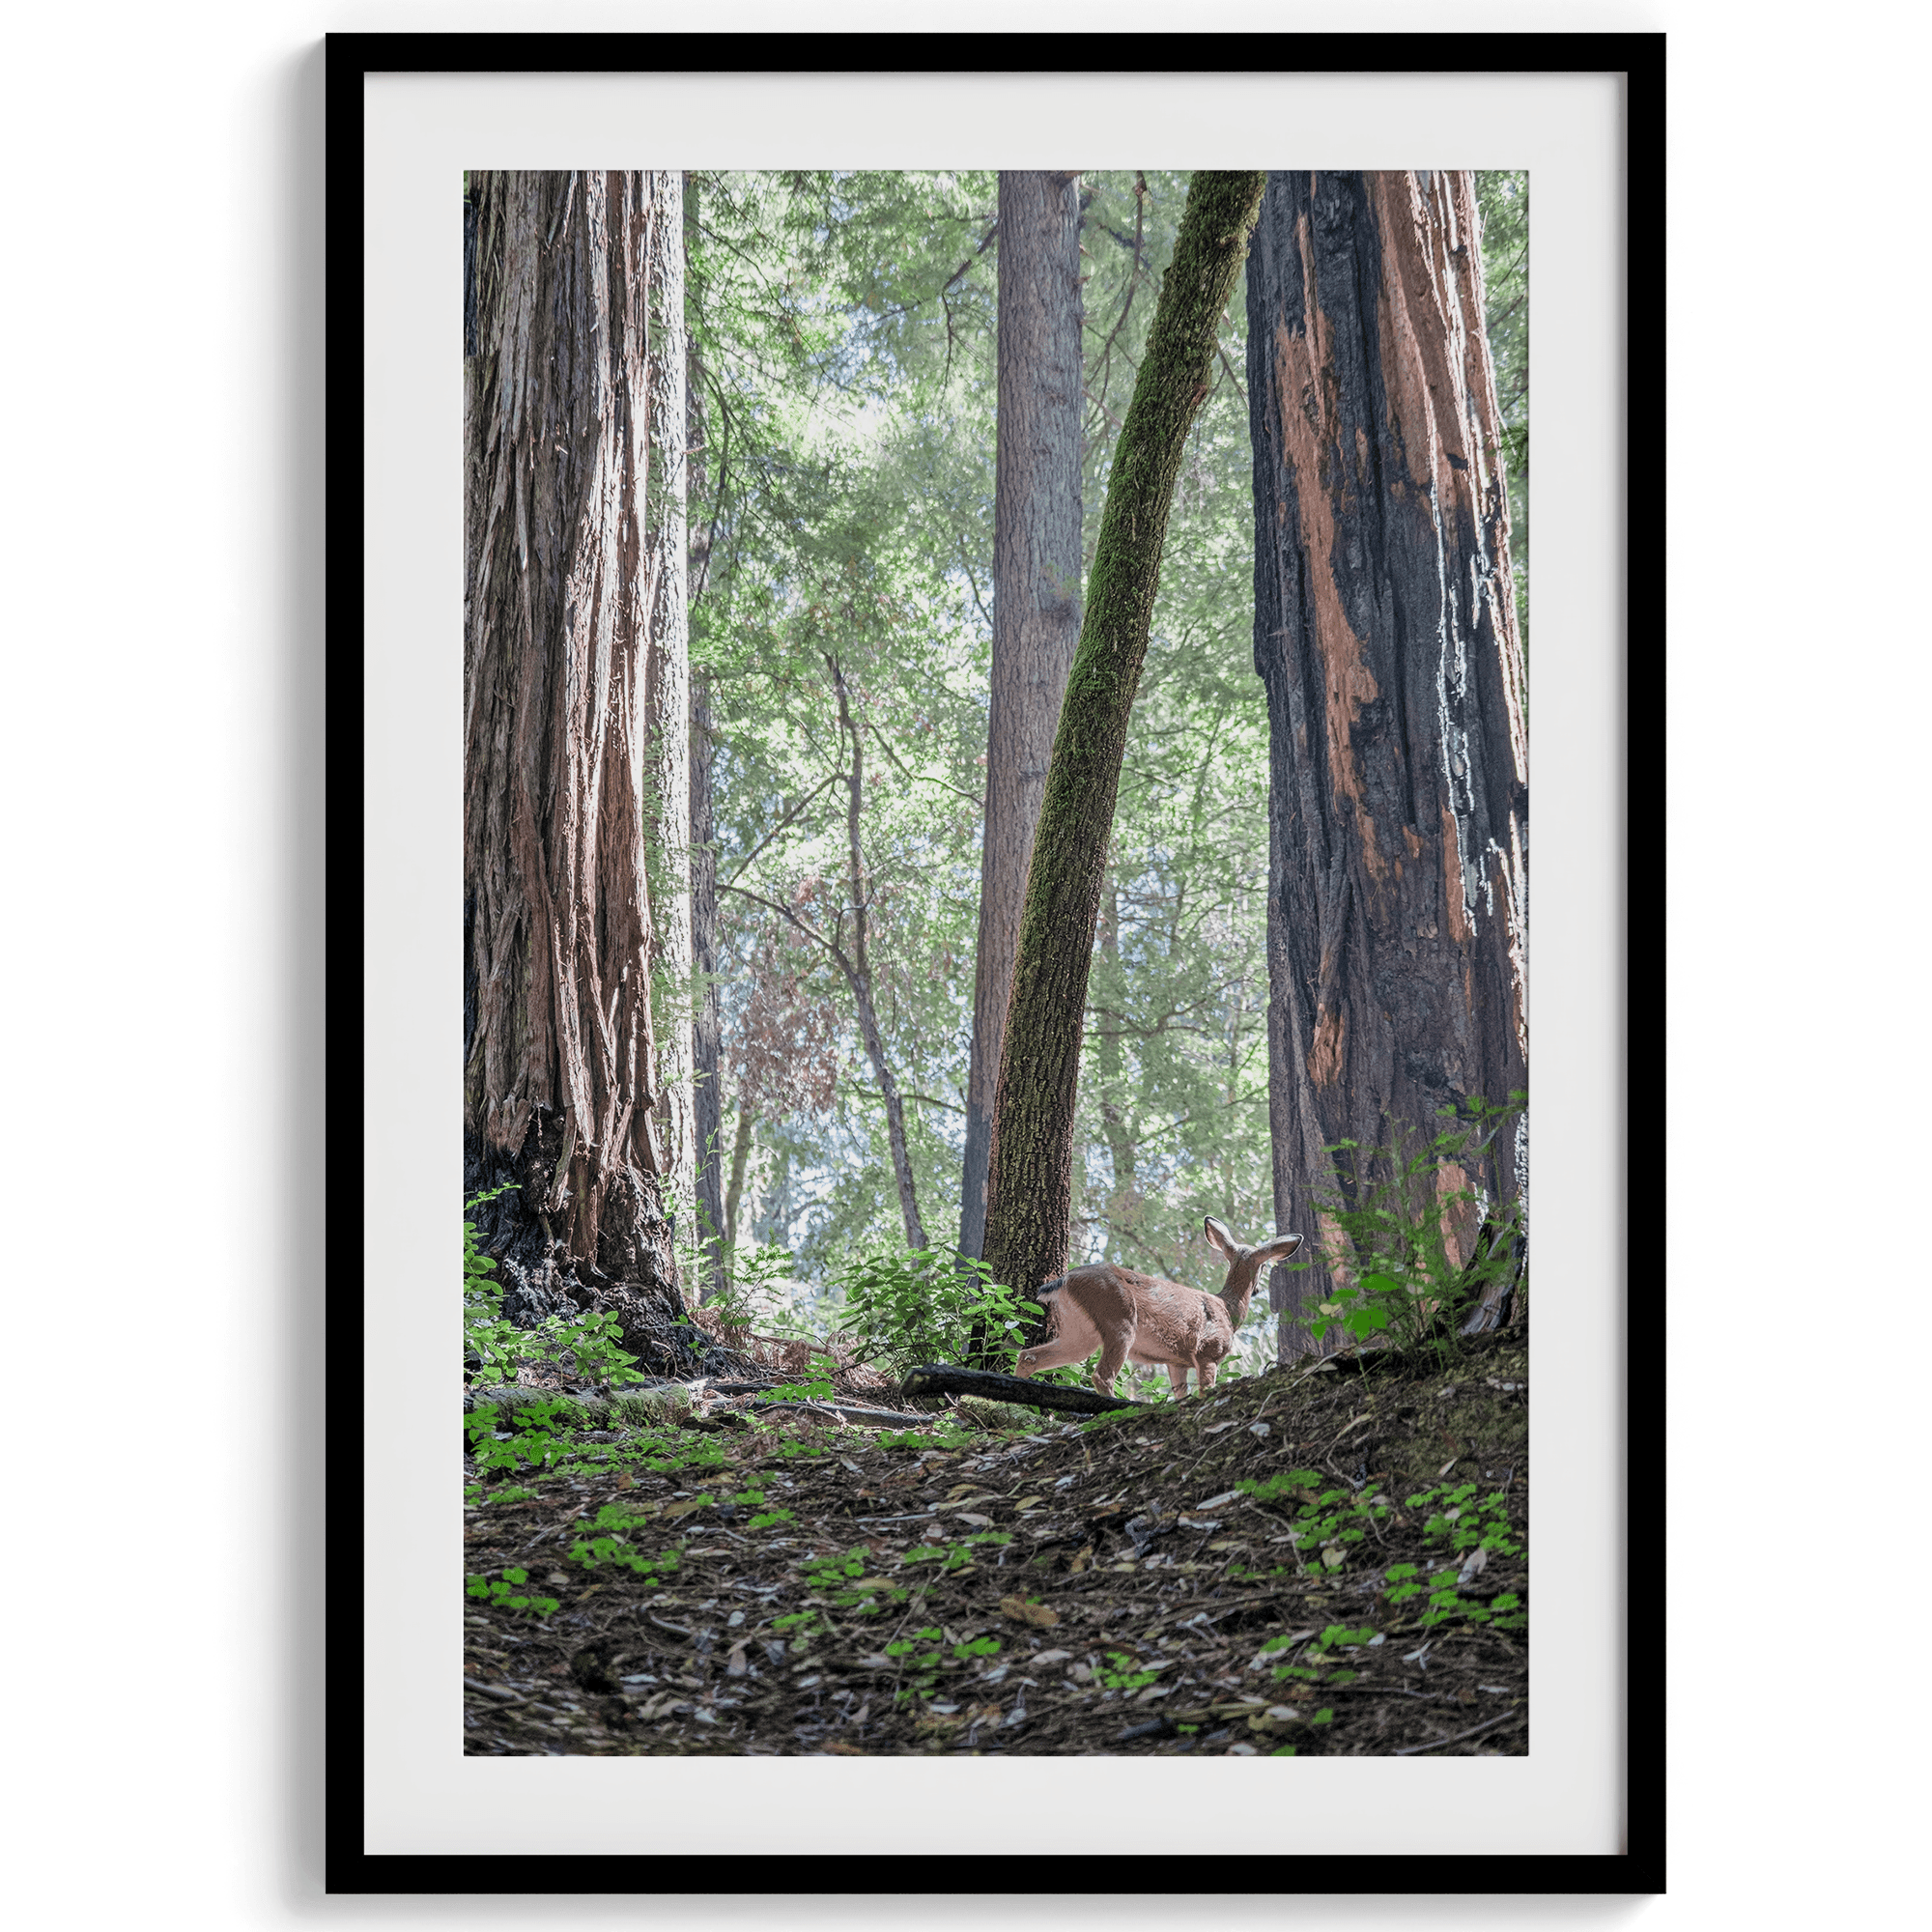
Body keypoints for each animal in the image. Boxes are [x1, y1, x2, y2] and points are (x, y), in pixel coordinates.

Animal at [1012, 1221, 1298, 1406]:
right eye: (1264, 1266)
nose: (1258, 1289)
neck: (1227, 1309)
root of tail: (1064, 1281)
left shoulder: (1177, 1361)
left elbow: (1181, 1394)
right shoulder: (1208, 1350)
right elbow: (1206, 1389)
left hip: (1079, 1332)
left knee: (1029, 1356)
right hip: (1119, 1318)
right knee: (1102, 1375)